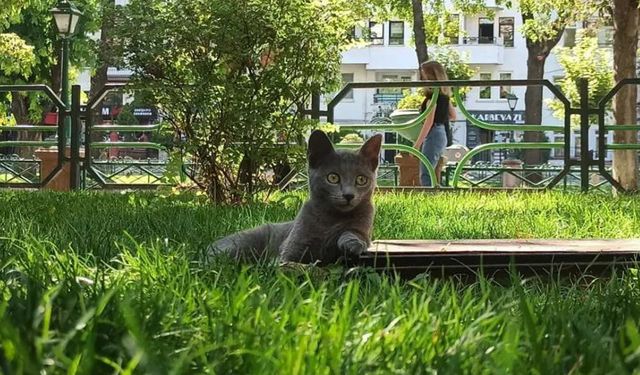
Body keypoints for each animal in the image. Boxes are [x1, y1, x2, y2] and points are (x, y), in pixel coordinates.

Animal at [208, 131, 382, 266]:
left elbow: (356, 233)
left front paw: (352, 243)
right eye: (333, 177)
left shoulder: (364, 226)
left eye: (361, 180)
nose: (348, 195)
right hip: (241, 244)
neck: (332, 219)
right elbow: (287, 260)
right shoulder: (292, 246)